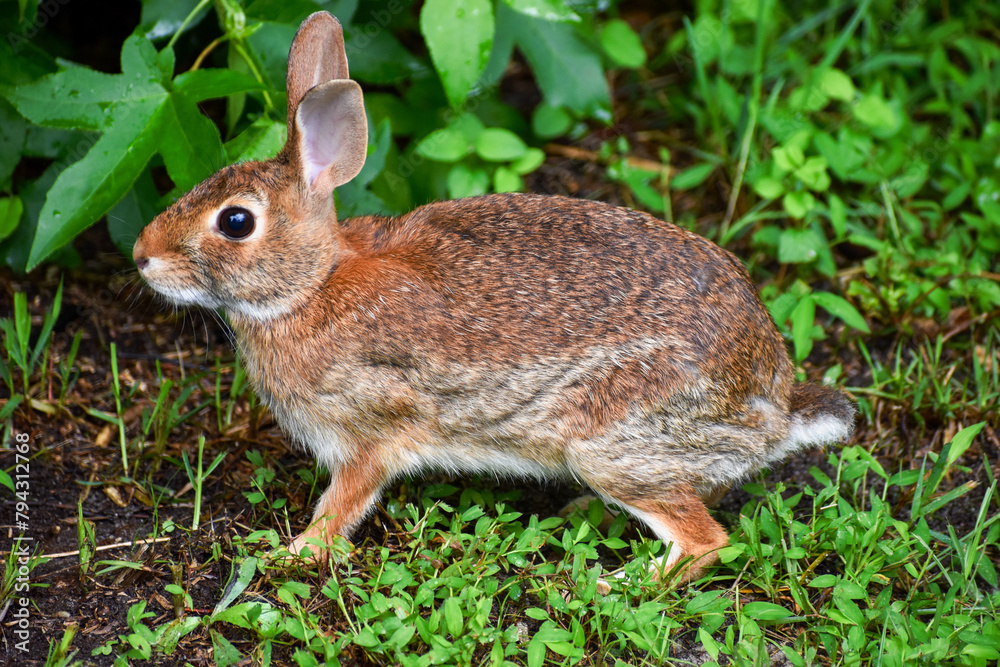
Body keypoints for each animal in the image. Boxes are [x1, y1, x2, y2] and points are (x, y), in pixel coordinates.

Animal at [132, 11, 855, 584]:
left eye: (235, 222)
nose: (141, 255)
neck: (311, 286)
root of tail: (772, 402)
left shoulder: (373, 430)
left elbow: (344, 503)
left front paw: (292, 554)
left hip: (612, 443)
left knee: (707, 540)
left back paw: (617, 583)